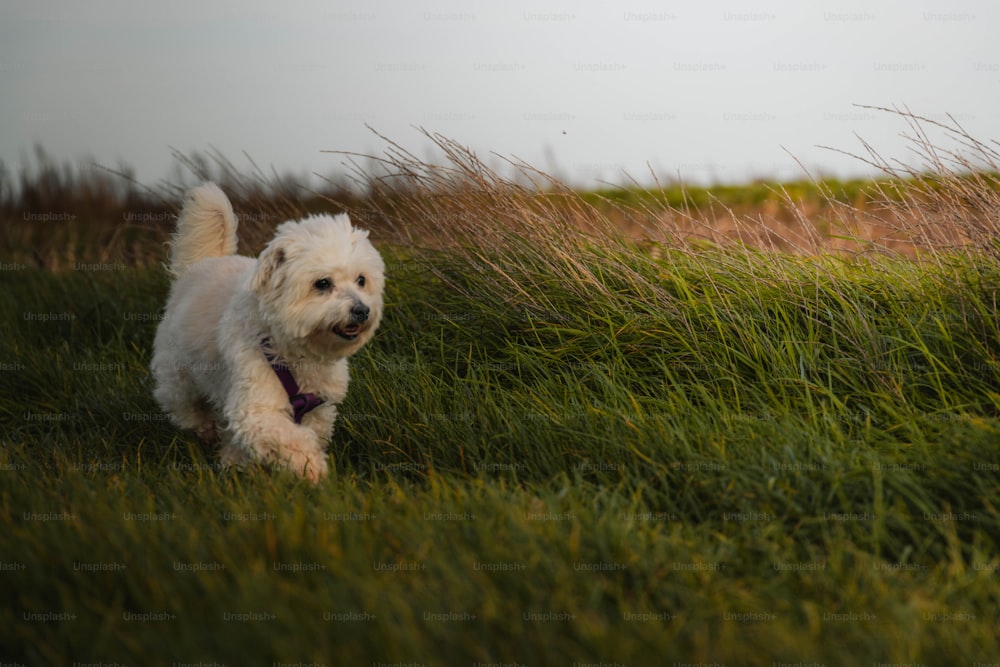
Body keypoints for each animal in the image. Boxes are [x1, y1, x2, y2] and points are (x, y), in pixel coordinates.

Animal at [150, 183, 384, 482]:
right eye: (322, 283)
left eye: (361, 280)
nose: (362, 310)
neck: (289, 349)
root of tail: (206, 262)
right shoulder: (255, 407)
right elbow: (292, 440)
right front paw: (314, 471)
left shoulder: (318, 407)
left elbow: (309, 432)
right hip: (178, 377)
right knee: (186, 408)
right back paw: (208, 431)